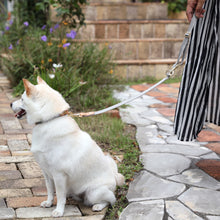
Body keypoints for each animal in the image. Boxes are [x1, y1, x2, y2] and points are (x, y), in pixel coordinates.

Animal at [11, 76, 124, 217]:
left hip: (93, 193)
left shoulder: (59, 175)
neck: (49, 121)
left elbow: (59, 195)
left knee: (110, 200)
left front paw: (59, 211)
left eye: (21, 99)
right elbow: (50, 190)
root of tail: (114, 177)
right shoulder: (46, 173)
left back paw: (98, 206)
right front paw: (48, 203)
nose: (10, 104)